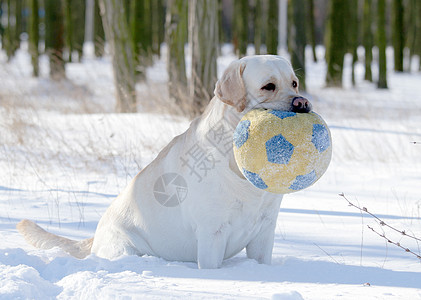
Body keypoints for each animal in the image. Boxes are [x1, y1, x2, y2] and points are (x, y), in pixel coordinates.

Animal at [18, 54, 310, 270]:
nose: (302, 103)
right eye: (268, 86)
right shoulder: (212, 232)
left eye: (294, 83)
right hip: (126, 246)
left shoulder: (265, 230)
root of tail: (94, 237)